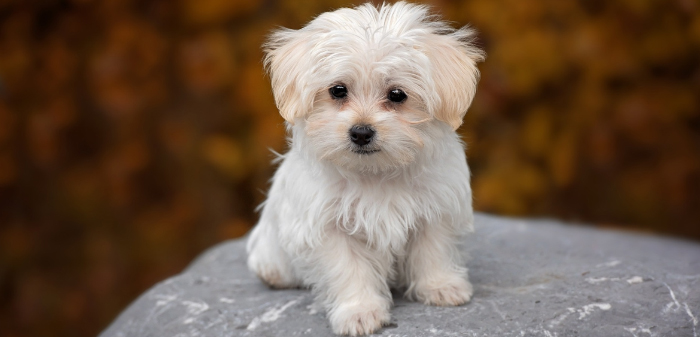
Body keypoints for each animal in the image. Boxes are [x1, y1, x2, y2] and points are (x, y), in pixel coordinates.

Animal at [245, 1, 482, 334]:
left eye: (397, 95)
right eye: (338, 90)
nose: (361, 132)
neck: (375, 173)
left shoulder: (436, 206)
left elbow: (433, 249)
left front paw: (440, 286)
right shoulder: (328, 226)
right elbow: (349, 269)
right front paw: (359, 311)